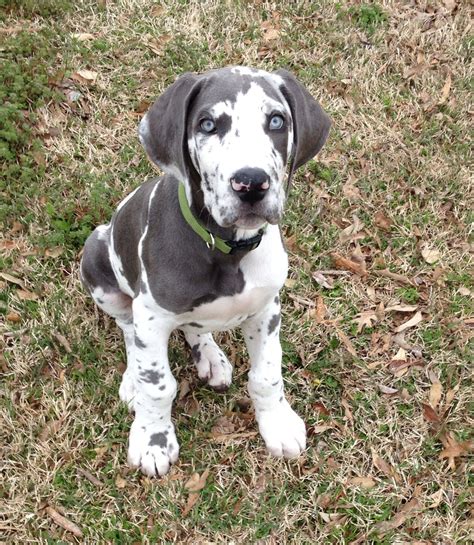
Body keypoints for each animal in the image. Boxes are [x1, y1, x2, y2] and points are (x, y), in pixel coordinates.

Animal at [80, 65, 330, 476]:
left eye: (277, 120)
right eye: (208, 124)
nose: (251, 183)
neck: (226, 248)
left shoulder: (267, 310)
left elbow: (267, 374)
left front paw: (277, 424)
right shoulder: (151, 315)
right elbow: (157, 384)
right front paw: (153, 440)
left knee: (194, 328)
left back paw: (211, 357)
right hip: (97, 258)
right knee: (128, 329)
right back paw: (132, 378)